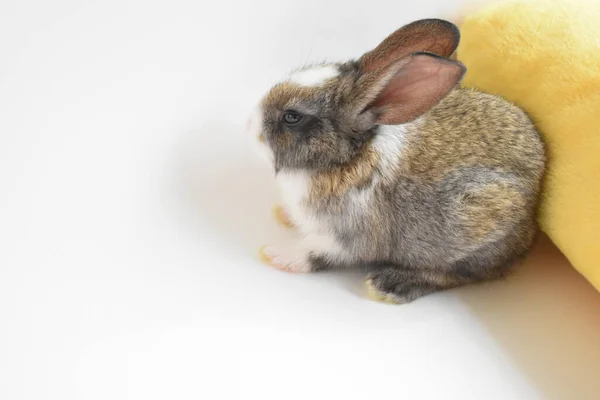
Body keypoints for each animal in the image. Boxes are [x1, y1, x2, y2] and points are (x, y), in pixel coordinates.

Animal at [246, 18, 548, 304]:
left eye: (292, 117)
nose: (250, 127)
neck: (346, 158)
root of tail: (531, 218)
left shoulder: (344, 237)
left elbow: (315, 253)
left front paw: (276, 256)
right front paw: (284, 214)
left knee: (465, 273)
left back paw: (388, 285)